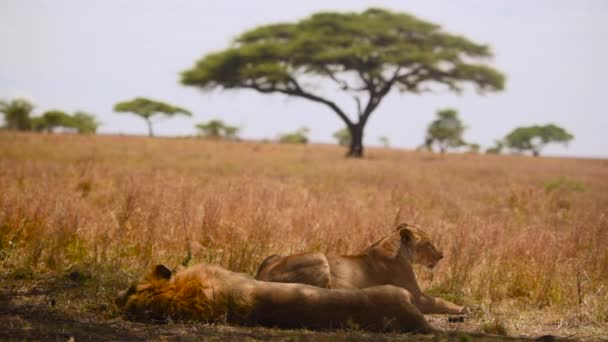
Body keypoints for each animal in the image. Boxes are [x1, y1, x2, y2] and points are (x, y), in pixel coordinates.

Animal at [254, 223, 464, 314]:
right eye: (428, 243)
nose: (441, 255)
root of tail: (261, 274)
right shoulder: (416, 296)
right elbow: (439, 301)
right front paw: (462, 308)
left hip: (274, 255)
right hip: (319, 256)